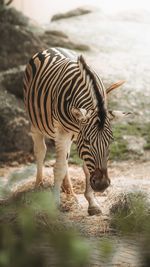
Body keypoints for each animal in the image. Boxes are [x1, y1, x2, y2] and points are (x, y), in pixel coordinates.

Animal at [23, 47, 126, 216]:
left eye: (110, 142)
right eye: (88, 141)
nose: (102, 185)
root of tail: (51, 48)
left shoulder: (76, 134)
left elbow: (85, 168)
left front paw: (92, 203)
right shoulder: (65, 132)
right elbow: (58, 167)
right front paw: (55, 203)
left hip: (69, 134)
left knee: (65, 158)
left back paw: (69, 191)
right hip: (37, 124)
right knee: (41, 152)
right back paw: (39, 186)